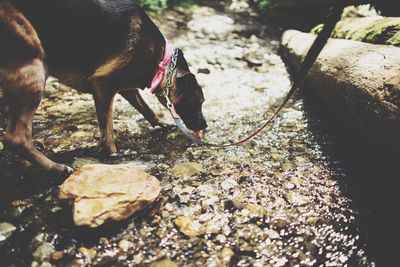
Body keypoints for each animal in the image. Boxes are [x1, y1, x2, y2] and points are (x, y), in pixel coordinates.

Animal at [0, 0, 206, 175]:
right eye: (200, 101)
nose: (205, 125)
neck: (162, 63)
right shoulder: (102, 85)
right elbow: (107, 127)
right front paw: (112, 153)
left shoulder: (125, 86)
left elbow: (145, 108)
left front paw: (160, 123)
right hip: (34, 70)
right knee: (16, 138)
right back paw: (56, 168)